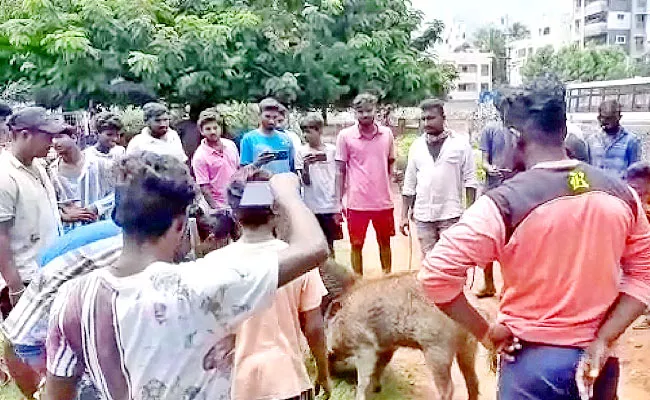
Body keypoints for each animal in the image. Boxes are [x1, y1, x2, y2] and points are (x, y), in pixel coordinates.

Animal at [322, 264, 478, 400]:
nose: (333, 377)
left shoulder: (365, 346)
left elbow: (364, 376)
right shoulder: (388, 346)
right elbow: (380, 366)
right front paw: (377, 388)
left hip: (437, 349)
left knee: (448, 388)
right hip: (469, 347)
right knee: (473, 379)